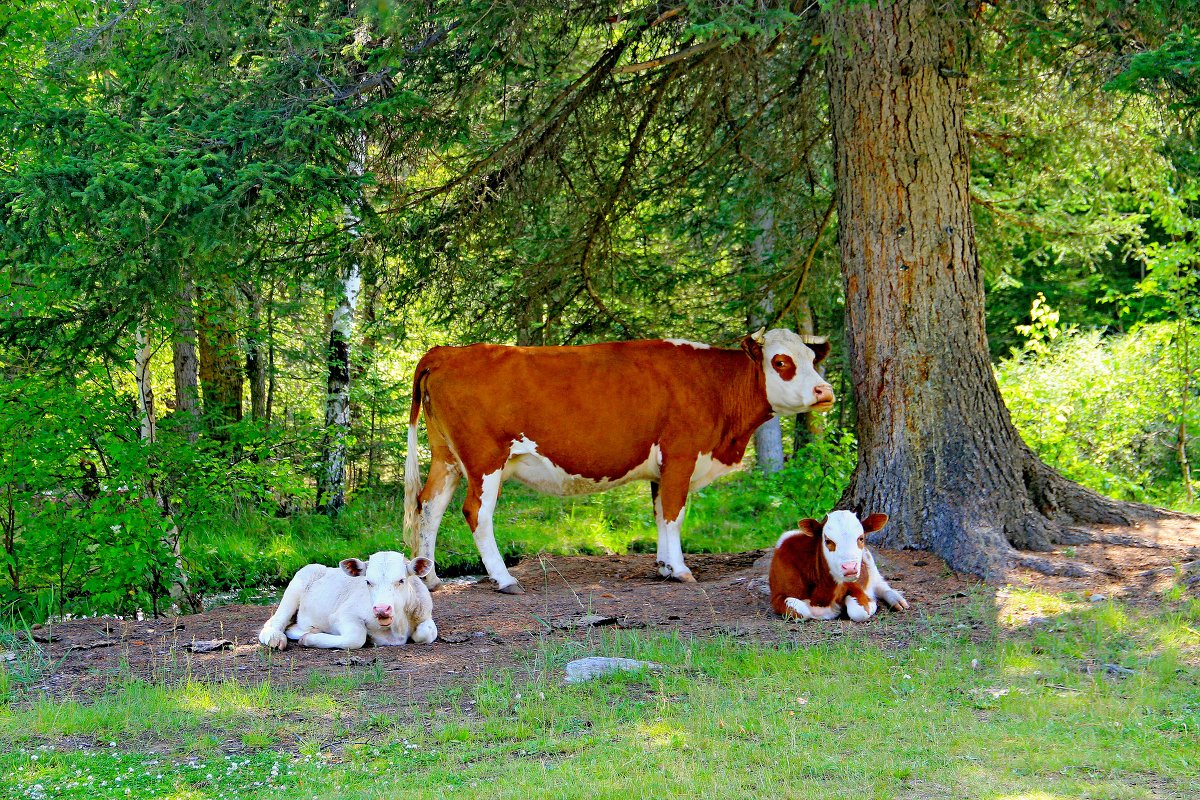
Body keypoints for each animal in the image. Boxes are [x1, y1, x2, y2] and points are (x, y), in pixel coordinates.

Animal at [260, 551, 439, 652]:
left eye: (401, 580)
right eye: (368, 581)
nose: (382, 609)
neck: (397, 628)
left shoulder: (425, 615)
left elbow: (428, 632)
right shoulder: (343, 615)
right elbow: (356, 638)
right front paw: (308, 639)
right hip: (296, 586)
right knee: (274, 622)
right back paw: (276, 638)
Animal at [403, 326, 835, 594]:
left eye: (813, 361)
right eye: (781, 362)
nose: (825, 391)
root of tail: (447, 352)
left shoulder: (662, 468)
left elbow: (661, 513)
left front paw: (664, 566)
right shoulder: (681, 455)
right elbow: (675, 513)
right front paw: (680, 570)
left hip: (447, 458)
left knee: (429, 506)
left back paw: (431, 577)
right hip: (484, 459)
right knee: (476, 511)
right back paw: (504, 578)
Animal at [768, 510, 907, 623]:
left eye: (861, 538)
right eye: (828, 541)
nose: (850, 567)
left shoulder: (856, 586)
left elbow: (860, 612)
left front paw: (872, 603)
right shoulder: (777, 596)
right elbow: (801, 611)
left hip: (870, 563)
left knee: (880, 584)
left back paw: (897, 600)